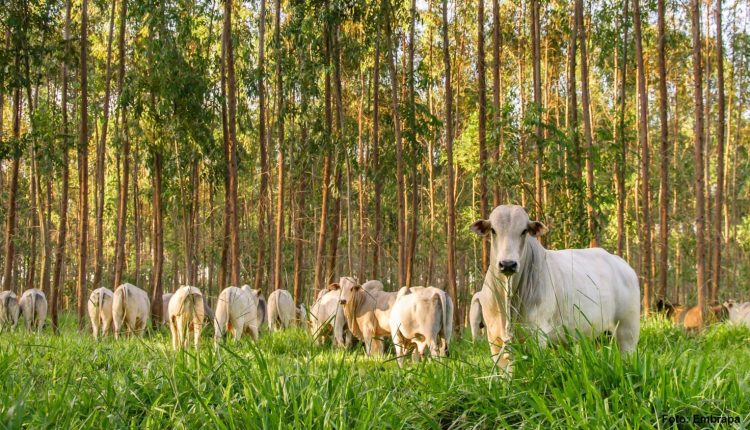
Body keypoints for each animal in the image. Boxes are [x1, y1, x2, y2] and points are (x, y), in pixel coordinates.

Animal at [470, 203, 640, 372]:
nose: (508, 264)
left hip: (627, 331)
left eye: (524, 231)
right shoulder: (495, 339)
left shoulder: (537, 335)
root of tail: (624, 265)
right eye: (493, 230)